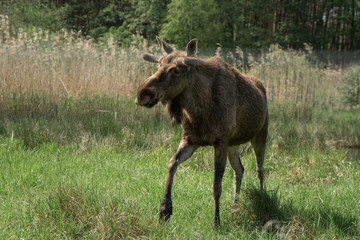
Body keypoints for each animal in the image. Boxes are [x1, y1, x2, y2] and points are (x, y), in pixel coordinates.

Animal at [135, 37, 268, 227]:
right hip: (233, 144)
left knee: (260, 168)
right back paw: (235, 205)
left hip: (260, 134)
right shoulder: (191, 140)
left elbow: (216, 186)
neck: (198, 110)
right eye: (158, 65)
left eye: (175, 70)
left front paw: (217, 222)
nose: (142, 94)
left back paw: (262, 197)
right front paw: (165, 209)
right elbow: (171, 164)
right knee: (240, 169)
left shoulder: (220, 142)